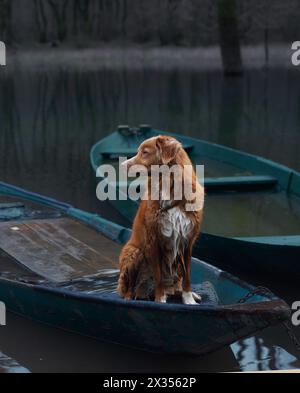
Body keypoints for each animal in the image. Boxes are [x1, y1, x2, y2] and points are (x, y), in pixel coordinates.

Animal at [116, 135, 204, 304]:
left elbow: (187, 276)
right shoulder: (154, 240)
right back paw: (130, 297)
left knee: (177, 283)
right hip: (133, 252)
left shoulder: (187, 241)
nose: (122, 165)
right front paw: (160, 299)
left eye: (144, 152)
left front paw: (189, 299)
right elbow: (158, 276)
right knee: (128, 288)